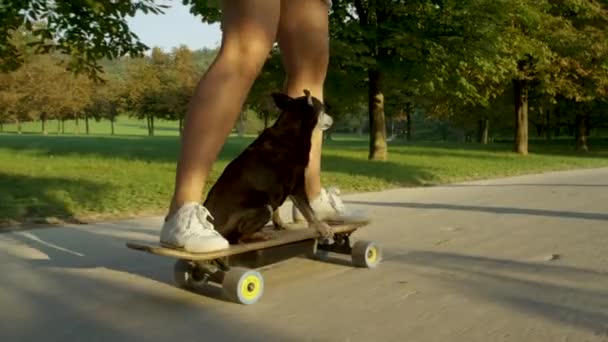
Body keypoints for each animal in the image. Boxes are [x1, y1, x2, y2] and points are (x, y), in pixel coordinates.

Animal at [204, 88, 338, 243]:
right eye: (323, 109)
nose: (333, 118)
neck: (291, 131)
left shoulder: (287, 188)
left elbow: (298, 209)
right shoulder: (297, 184)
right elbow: (309, 210)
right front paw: (321, 227)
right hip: (264, 208)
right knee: (241, 236)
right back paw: (260, 235)